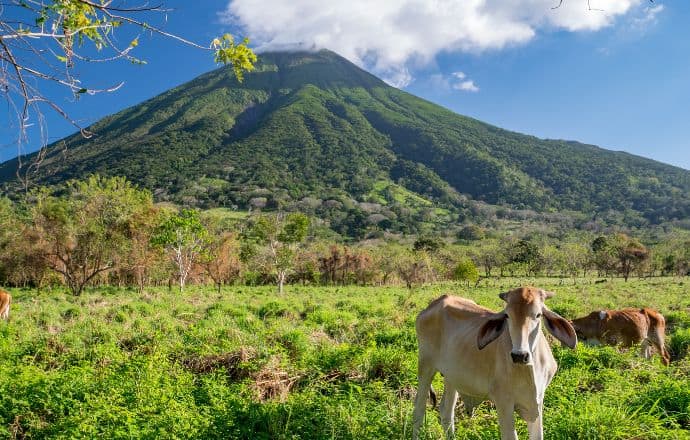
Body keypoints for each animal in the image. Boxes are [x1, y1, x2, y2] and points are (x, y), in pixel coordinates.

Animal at [412, 288, 576, 438]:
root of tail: (433, 304)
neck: (529, 370)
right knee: (418, 410)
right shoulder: (503, 402)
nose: (519, 355)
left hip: (452, 377)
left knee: (446, 411)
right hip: (425, 366)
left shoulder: (537, 402)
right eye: (507, 315)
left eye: (538, 315)